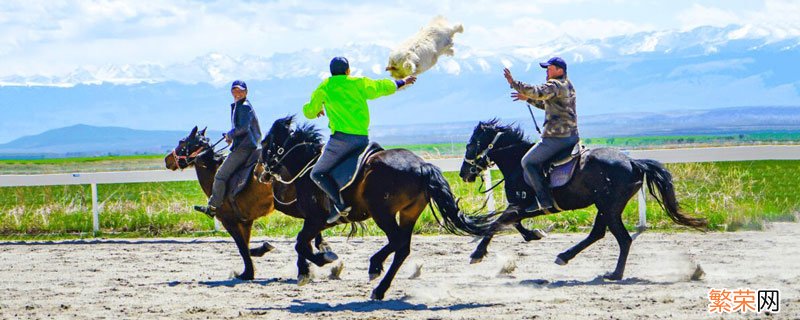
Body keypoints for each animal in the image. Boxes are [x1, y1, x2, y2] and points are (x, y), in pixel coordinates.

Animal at [164, 126, 330, 282]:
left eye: (182, 142)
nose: (167, 159)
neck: (214, 172)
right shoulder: (246, 222)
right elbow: (247, 246)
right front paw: (263, 249)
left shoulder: (229, 221)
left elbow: (242, 248)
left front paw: (247, 273)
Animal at [260, 115, 482, 300]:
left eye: (265, 143)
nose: (263, 173)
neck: (308, 168)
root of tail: (422, 166)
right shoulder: (317, 222)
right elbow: (303, 242)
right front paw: (306, 269)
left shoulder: (316, 220)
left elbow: (300, 243)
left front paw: (320, 261)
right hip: (408, 213)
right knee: (402, 248)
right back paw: (380, 288)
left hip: (382, 213)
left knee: (398, 242)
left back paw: (375, 266)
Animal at [456, 120, 708, 280]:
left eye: (470, 145)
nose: (463, 173)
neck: (518, 162)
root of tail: (633, 162)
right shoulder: (520, 207)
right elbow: (511, 222)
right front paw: (534, 234)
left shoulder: (523, 205)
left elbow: (497, 223)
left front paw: (477, 254)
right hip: (606, 208)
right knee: (599, 234)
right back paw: (569, 258)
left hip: (609, 207)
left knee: (622, 239)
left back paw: (613, 274)